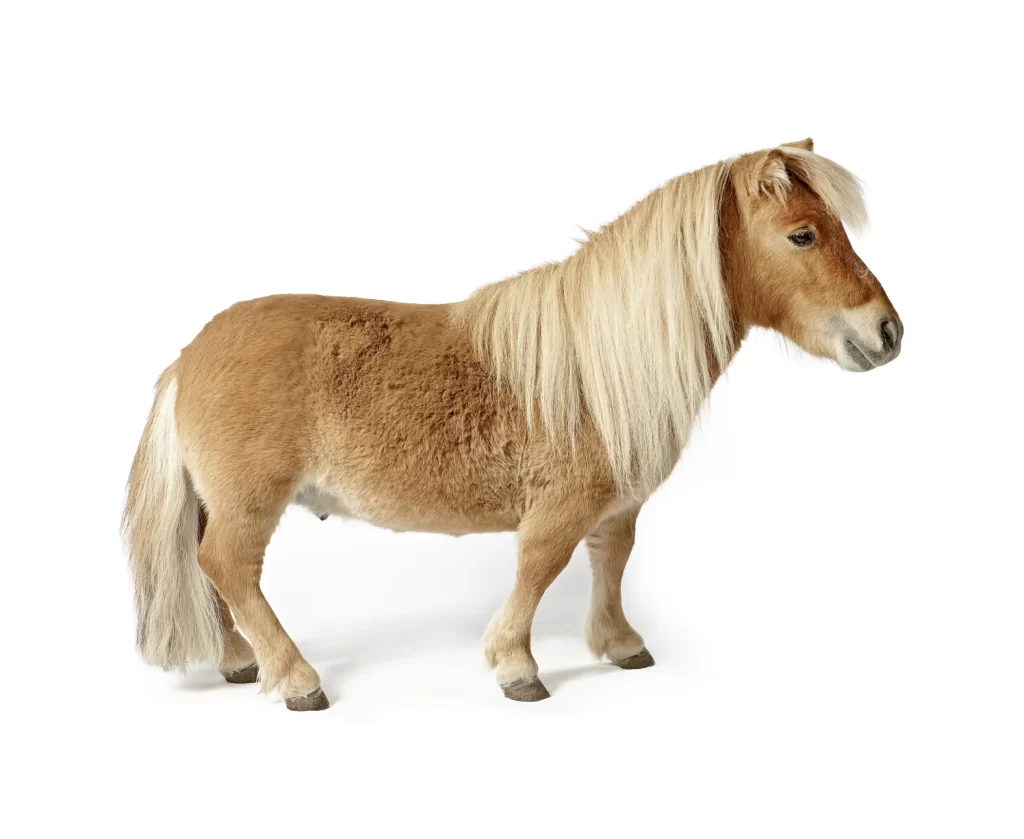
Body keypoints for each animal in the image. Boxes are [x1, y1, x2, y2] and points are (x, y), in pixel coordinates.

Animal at [123, 138, 902, 711]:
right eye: (802, 235)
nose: (888, 331)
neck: (596, 361)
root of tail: (190, 355)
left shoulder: (617, 505)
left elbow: (610, 561)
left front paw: (620, 643)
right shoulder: (558, 508)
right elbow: (538, 570)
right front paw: (516, 666)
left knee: (211, 572)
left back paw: (238, 661)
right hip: (250, 504)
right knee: (229, 566)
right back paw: (294, 676)